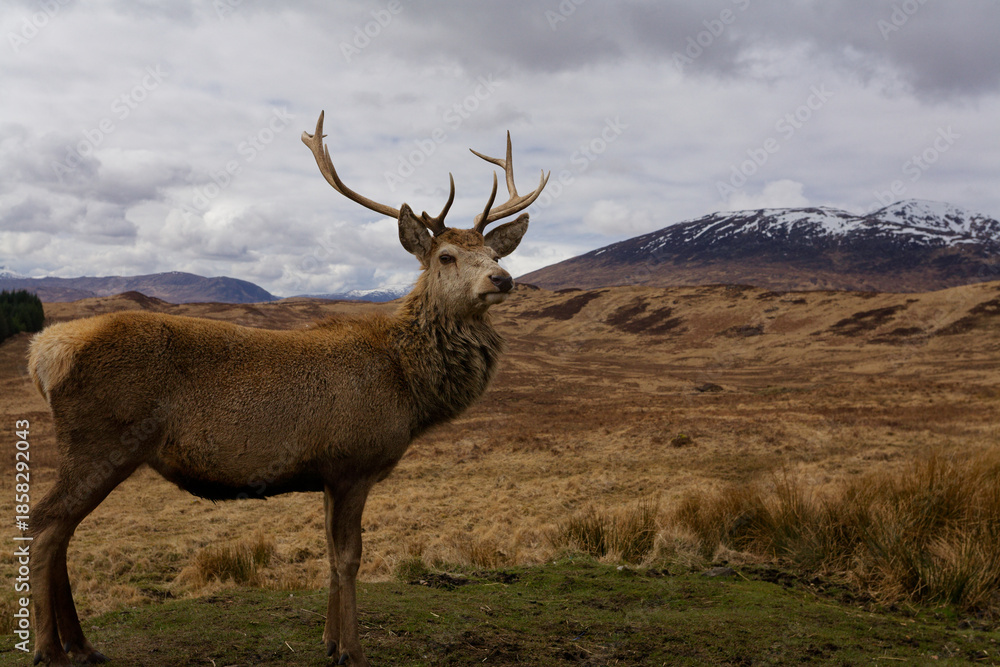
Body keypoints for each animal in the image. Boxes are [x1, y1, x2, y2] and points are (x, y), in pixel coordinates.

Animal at [26, 110, 549, 666]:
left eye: (492, 251)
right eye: (447, 256)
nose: (502, 279)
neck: (408, 390)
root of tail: (43, 354)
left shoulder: (326, 474)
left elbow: (329, 553)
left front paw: (329, 641)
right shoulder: (353, 461)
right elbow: (349, 558)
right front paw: (353, 652)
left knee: (61, 531)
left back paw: (81, 645)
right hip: (99, 440)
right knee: (45, 525)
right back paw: (50, 650)